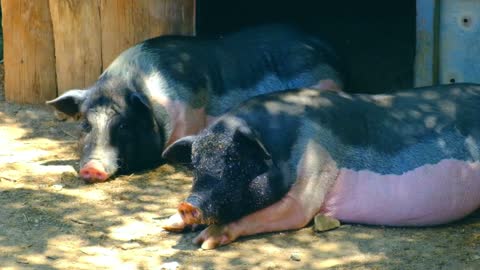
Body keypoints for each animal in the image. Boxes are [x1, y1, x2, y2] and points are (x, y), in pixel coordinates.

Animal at [161, 83, 480, 249]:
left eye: (234, 159)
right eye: (195, 163)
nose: (187, 204)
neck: (281, 145)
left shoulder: (316, 160)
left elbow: (297, 211)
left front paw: (205, 241)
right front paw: (169, 224)